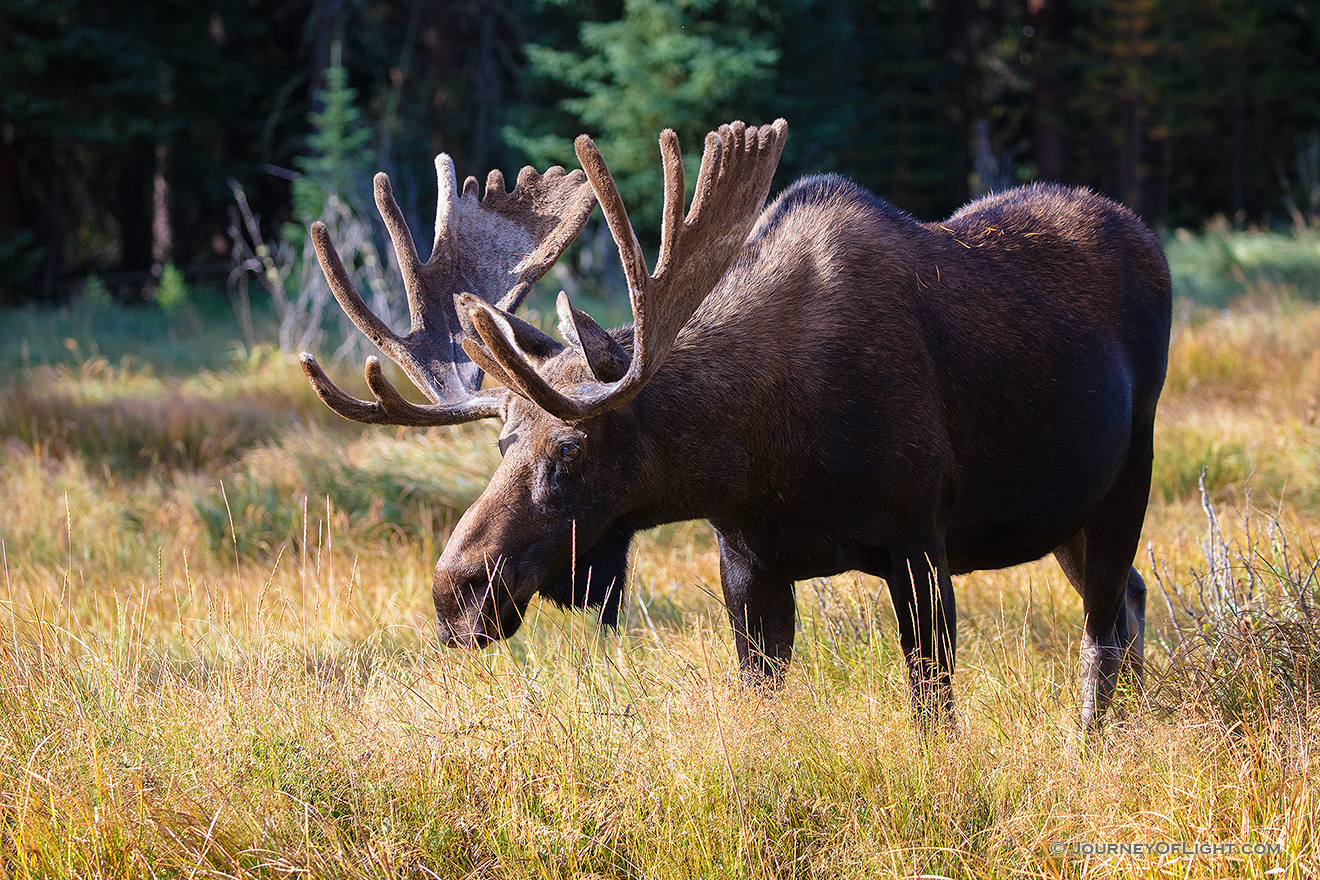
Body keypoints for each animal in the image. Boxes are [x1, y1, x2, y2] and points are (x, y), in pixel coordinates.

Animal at [302, 122, 1177, 728]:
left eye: (572, 447)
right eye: (500, 440)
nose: (455, 593)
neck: (762, 456)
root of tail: (1147, 233)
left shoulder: (920, 543)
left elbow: (935, 713)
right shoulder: (746, 561)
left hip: (1130, 470)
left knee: (1103, 628)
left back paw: (1092, 742)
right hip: (1065, 510)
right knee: (1130, 599)